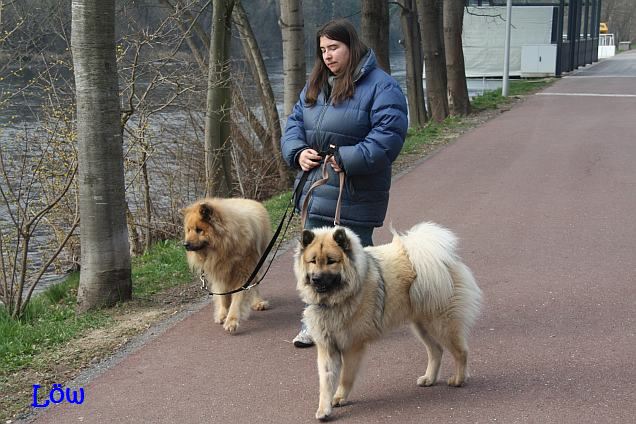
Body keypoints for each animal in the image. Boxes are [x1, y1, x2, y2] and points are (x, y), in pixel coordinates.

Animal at [184, 197, 274, 332]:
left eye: (199, 230)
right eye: (188, 230)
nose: (185, 244)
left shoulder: (244, 273)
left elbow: (237, 299)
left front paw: (231, 321)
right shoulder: (219, 274)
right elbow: (223, 297)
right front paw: (222, 314)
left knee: (255, 285)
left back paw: (258, 302)